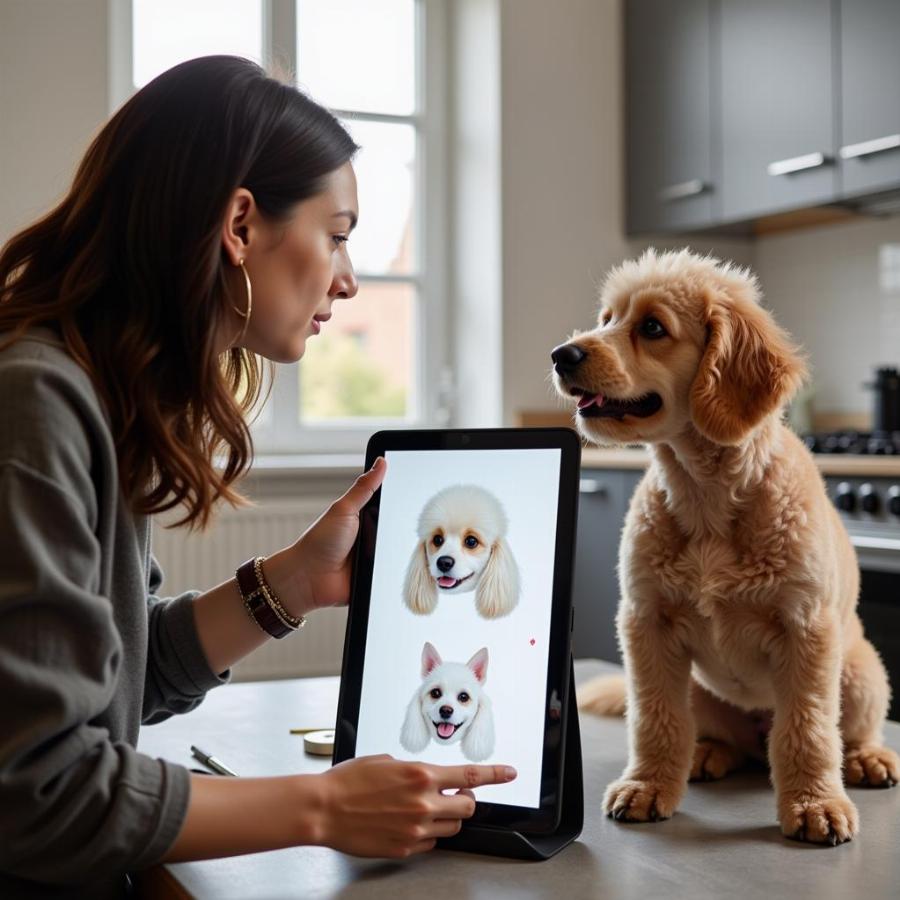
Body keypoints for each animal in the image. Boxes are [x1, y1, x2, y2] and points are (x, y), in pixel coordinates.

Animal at [552, 248, 896, 844]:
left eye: (652, 327)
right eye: (606, 318)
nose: (561, 355)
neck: (706, 497)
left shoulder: (806, 629)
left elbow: (808, 728)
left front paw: (814, 802)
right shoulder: (647, 623)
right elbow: (654, 718)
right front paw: (647, 784)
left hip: (860, 674)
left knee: (843, 732)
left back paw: (867, 758)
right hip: (699, 687)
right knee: (717, 737)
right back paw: (704, 754)